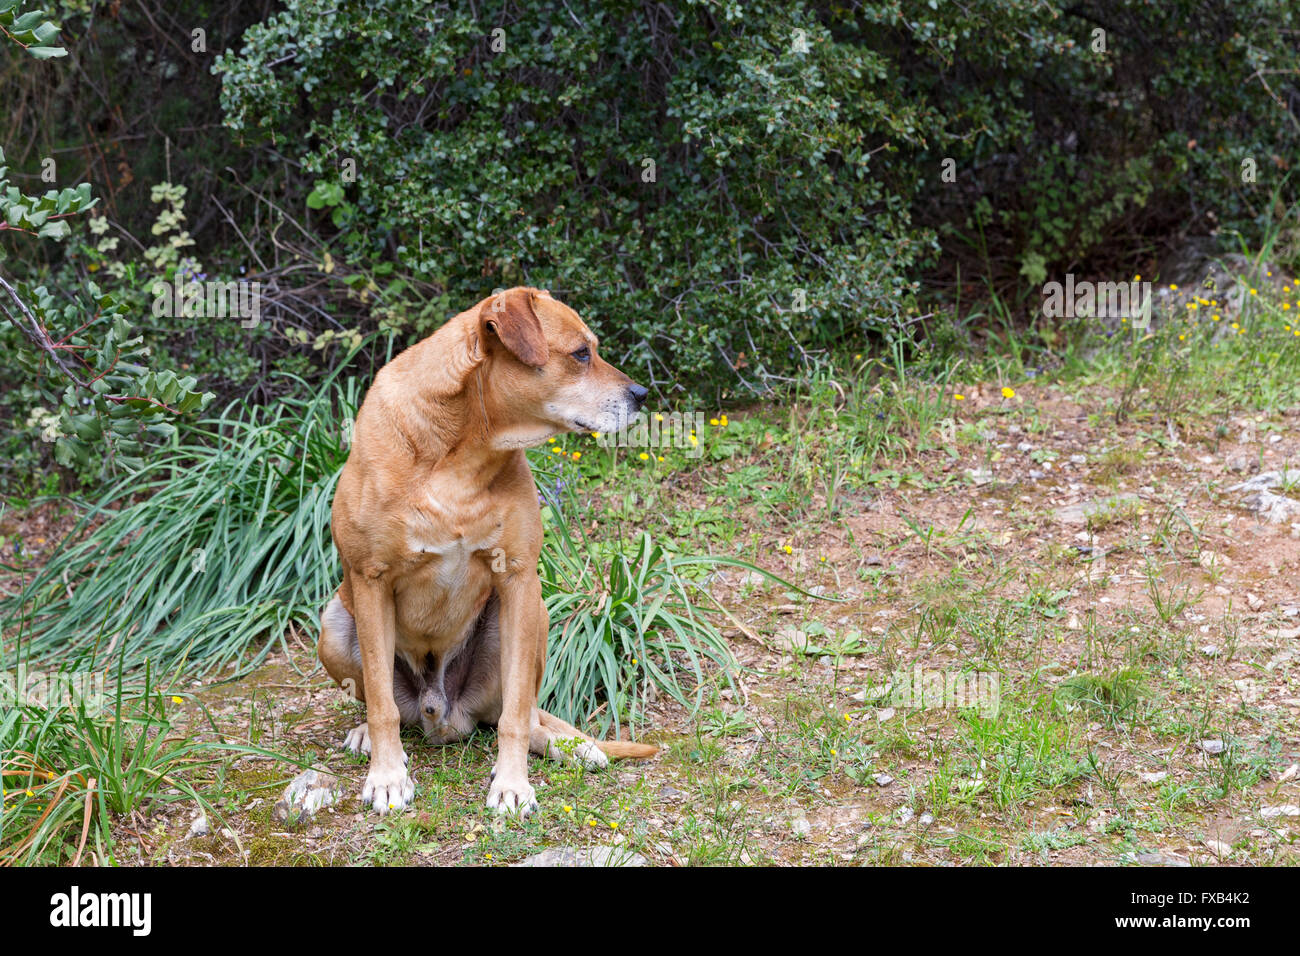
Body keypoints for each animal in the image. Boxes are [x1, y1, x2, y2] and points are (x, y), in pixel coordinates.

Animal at [315, 286, 660, 816]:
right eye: (581, 353)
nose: (642, 395)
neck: (460, 453)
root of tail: (442, 714)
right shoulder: (370, 579)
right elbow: (380, 706)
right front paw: (387, 775)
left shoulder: (518, 580)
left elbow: (516, 715)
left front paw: (513, 784)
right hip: (335, 623)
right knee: (384, 704)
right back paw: (364, 738)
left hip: (535, 617)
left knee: (522, 714)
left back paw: (572, 745)